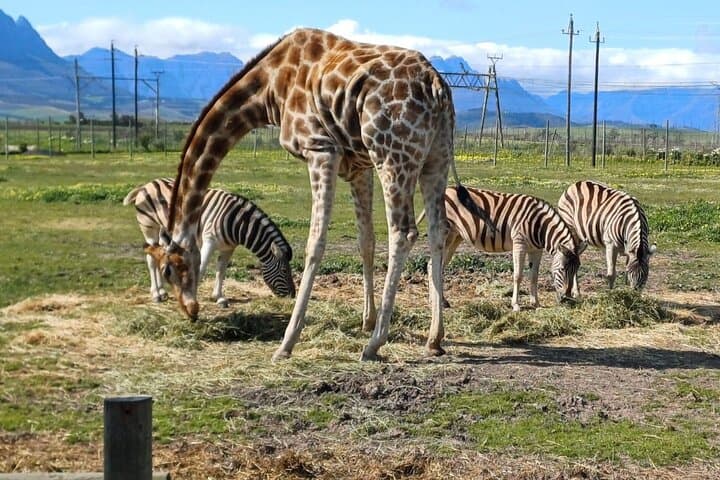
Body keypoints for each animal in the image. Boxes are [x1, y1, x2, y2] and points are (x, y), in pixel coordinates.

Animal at [147, 28, 491, 361]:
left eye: (168, 269)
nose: (190, 310)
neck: (270, 89)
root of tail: (438, 86)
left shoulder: (320, 148)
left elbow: (315, 243)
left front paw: (287, 343)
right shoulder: (358, 166)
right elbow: (366, 241)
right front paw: (366, 321)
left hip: (392, 154)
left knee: (403, 232)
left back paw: (374, 346)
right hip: (436, 157)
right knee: (436, 231)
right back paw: (434, 339)